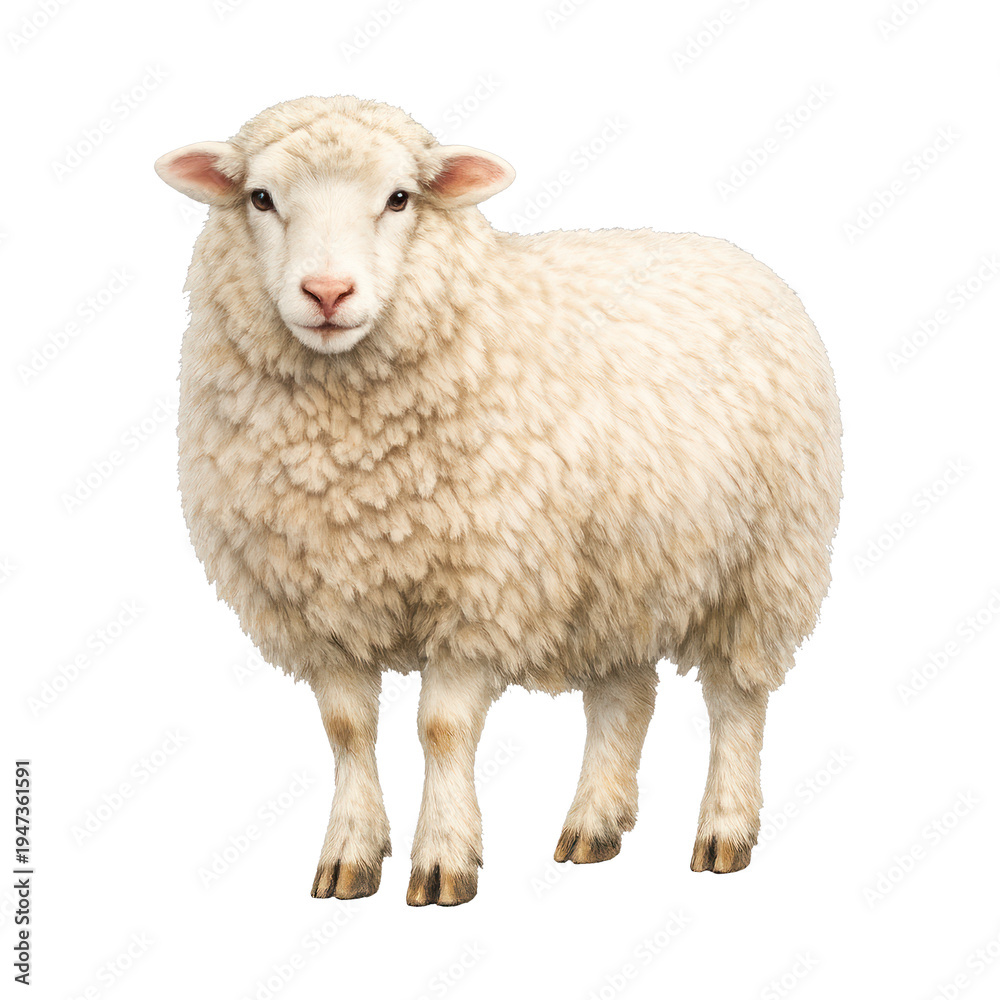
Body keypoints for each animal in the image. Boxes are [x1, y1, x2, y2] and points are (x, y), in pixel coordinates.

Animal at [154, 95, 842, 907]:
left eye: (399, 198)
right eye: (261, 198)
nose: (327, 294)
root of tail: (730, 252)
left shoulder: (482, 588)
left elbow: (443, 730)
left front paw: (443, 862)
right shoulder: (318, 600)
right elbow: (347, 730)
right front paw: (349, 856)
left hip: (766, 561)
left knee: (737, 697)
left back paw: (724, 831)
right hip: (619, 569)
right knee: (625, 697)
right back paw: (594, 826)